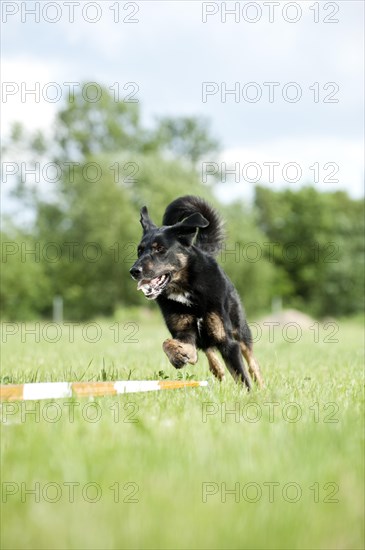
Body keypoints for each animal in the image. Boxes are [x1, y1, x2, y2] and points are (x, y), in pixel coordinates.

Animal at [129, 196, 264, 390]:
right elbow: (168, 343)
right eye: (139, 250)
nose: (134, 271)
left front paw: (248, 394)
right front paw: (179, 356)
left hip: (240, 328)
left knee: (252, 362)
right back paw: (214, 367)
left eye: (160, 249)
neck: (186, 289)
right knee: (210, 353)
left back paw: (261, 385)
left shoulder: (228, 342)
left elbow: (242, 377)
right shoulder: (184, 332)